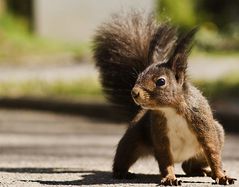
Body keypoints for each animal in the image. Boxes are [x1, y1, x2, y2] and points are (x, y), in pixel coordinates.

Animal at [92, 11, 236, 186]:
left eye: (161, 82)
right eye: (138, 76)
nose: (134, 92)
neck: (171, 109)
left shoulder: (203, 124)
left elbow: (213, 152)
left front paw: (221, 176)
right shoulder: (159, 134)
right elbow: (165, 160)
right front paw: (169, 178)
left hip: (214, 137)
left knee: (189, 166)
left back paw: (204, 171)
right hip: (131, 140)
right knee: (124, 156)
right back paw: (121, 173)